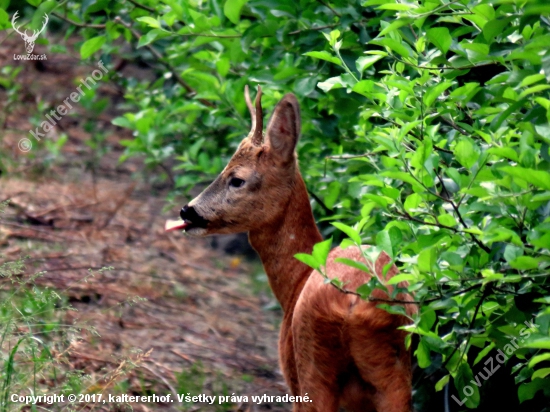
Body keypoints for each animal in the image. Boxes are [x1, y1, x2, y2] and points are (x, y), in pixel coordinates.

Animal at [168, 87, 418, 412]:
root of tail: (356, 301)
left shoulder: (293, 373)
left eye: (237, 179)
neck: (296, 279)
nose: (187, 211)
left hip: (311, 360)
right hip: (396, 369)